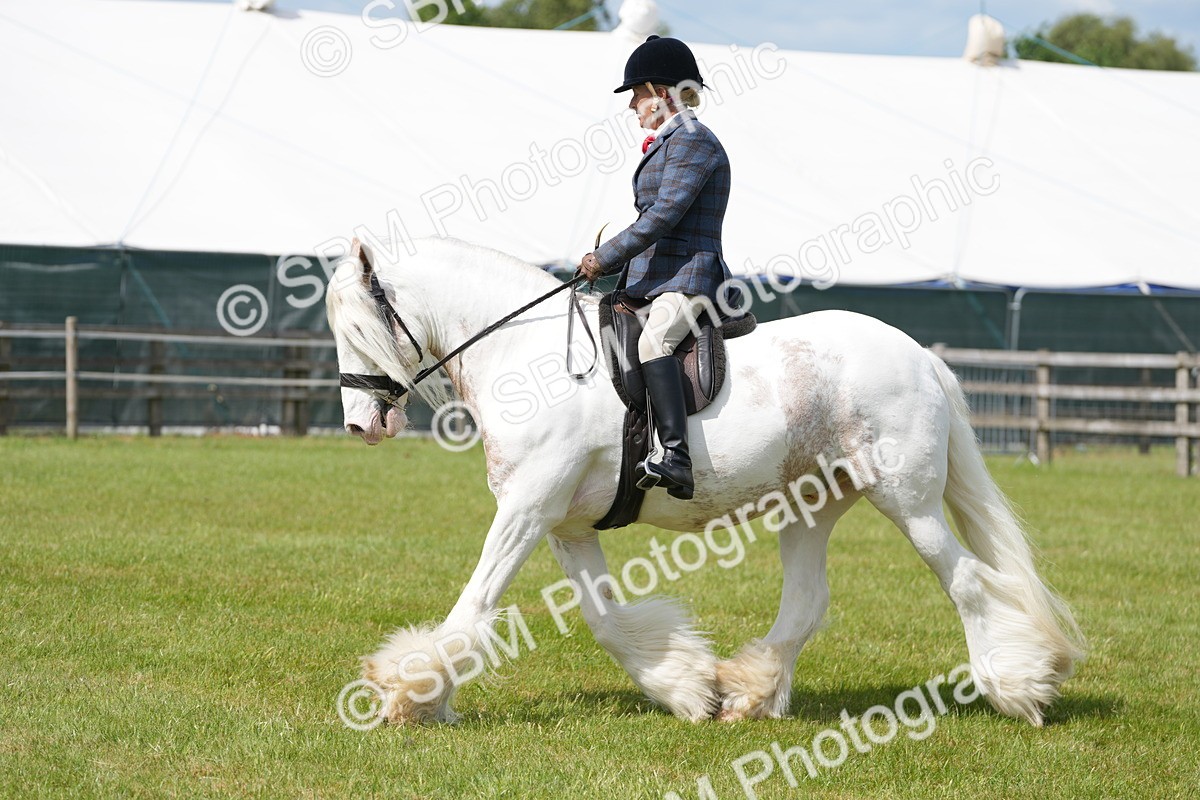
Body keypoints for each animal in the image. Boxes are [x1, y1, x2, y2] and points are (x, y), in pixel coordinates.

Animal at [325, 236, 1085, 727]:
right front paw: (686, 688)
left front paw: (407, 694)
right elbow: (605, 621)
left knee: (968, 582)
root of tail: (920, 355)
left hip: (908, 500)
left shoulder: (526, 510)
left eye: (358, 330)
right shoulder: (565, 525)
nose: (362, 425)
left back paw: (1018, 689)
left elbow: (474, 606)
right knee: (808, 601)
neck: (528, 357)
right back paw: (747, 695)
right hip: (811, 504)